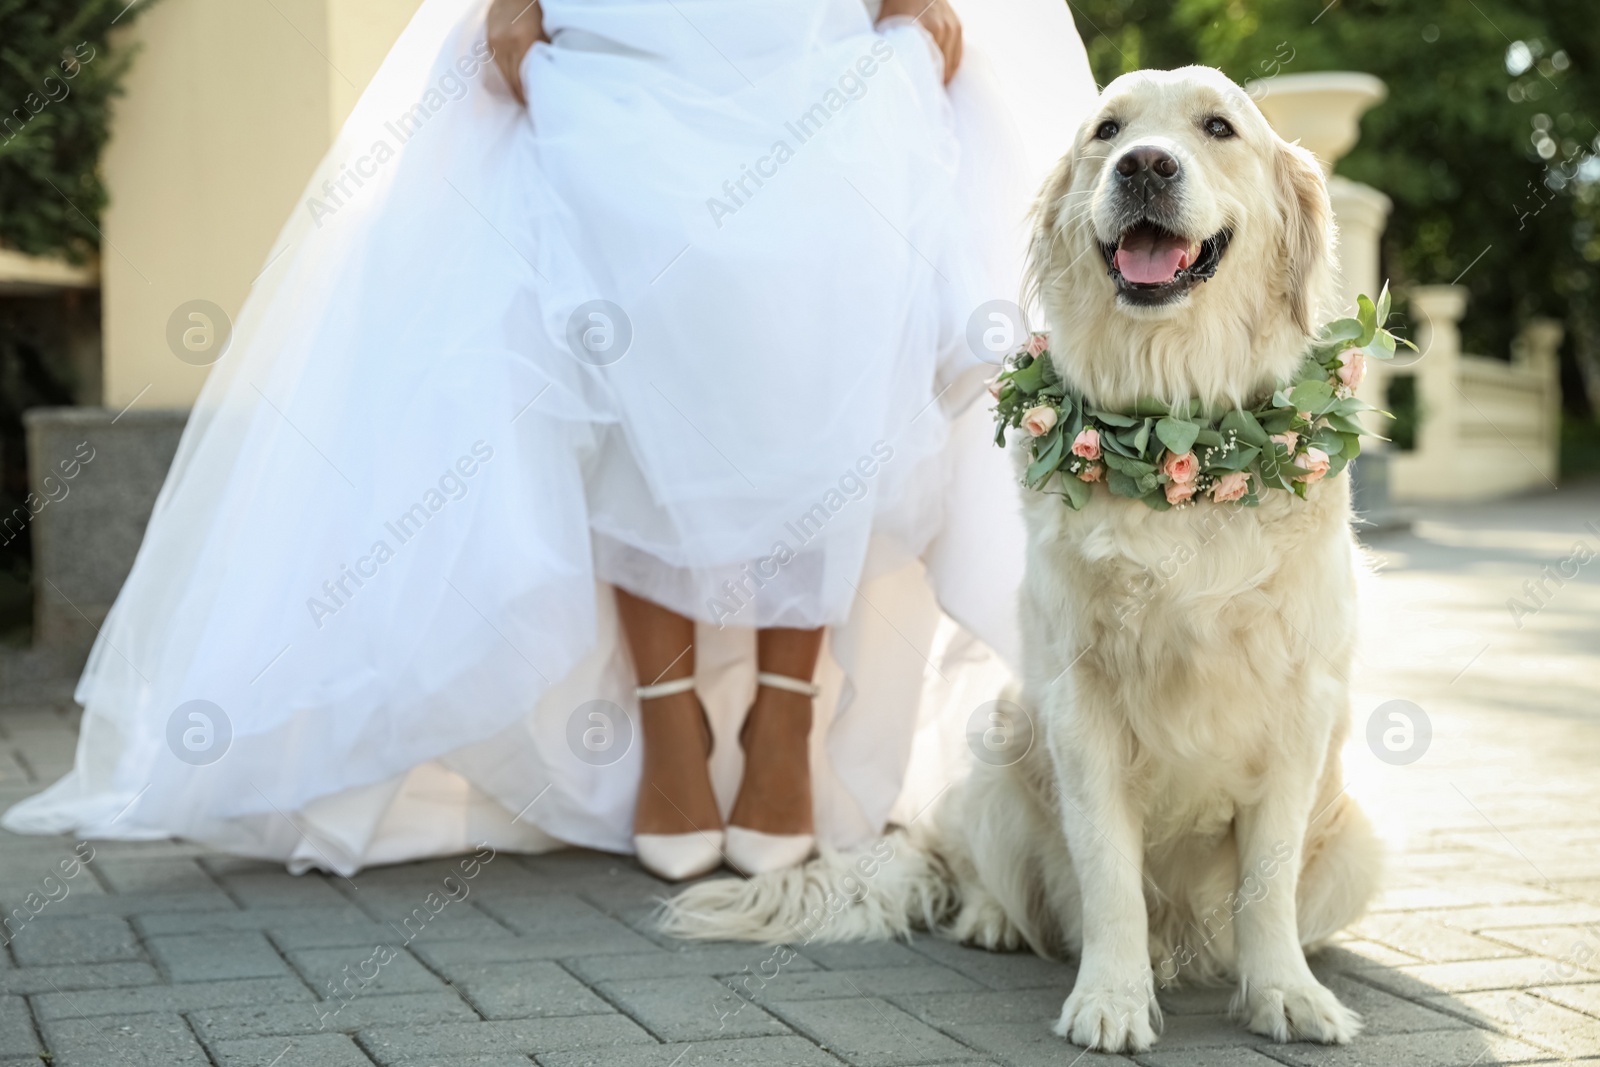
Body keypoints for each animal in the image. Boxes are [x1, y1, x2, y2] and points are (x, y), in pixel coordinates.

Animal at [662, 68, 1388, 1062]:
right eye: (1107, 130)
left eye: (1217, 127)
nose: (1146, 165)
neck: (1182, 441)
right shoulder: (1080, 703)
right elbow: (1107, 870)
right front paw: (1111, 999)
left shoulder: (1300, 704)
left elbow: (1266, 879)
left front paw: (1284, 990)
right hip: (1002, 745)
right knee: (996, 875)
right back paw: (993, 919)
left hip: (1359, 842)